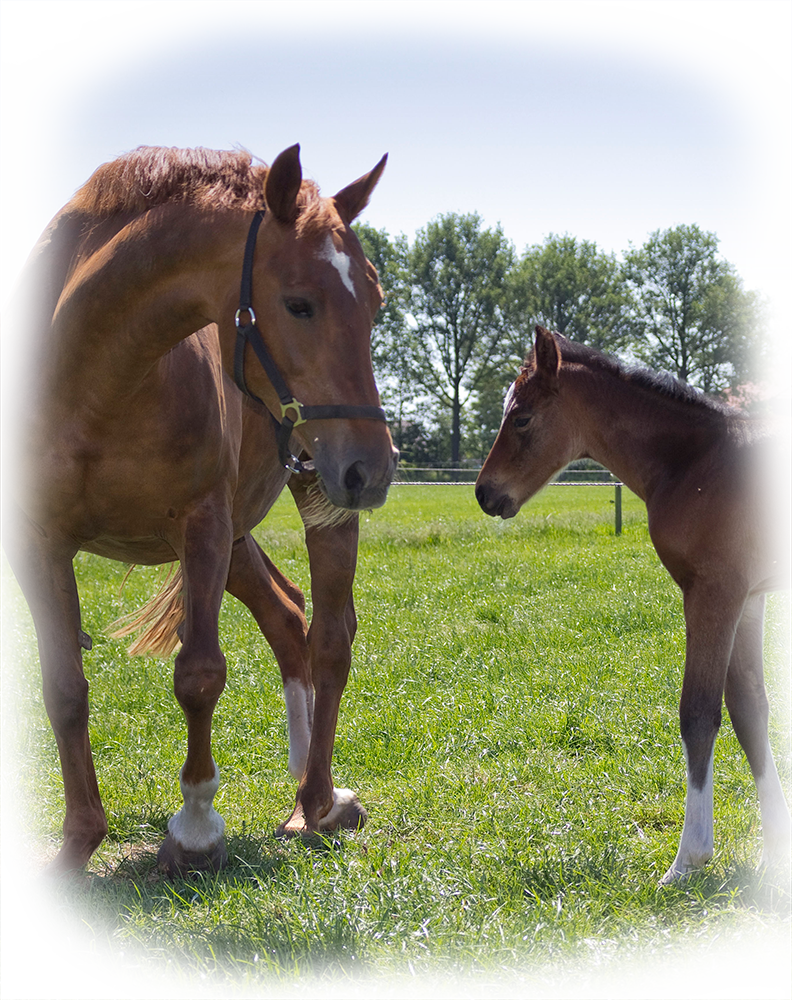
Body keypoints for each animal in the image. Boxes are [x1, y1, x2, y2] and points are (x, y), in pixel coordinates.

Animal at [0, 144, 398, 879]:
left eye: (375, 302)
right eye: (298, 303)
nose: (374, 467)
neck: (90, 374)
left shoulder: (203, 523)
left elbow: (200, 674)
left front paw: (194, 829)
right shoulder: (32, 540)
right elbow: (63, 688)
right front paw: (76, 844)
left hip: (311, 502)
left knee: (329, 637)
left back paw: (319, 799)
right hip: (248, 532)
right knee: (286, 614)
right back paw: (301, 788)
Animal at [476, 325, 792, 883]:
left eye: (522, 417)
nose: (484, 494)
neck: (695, 460)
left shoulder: (712, 592)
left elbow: (698, 712)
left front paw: (688, 860)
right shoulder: (749, 597)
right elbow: (749, 709)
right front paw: (774, 848)